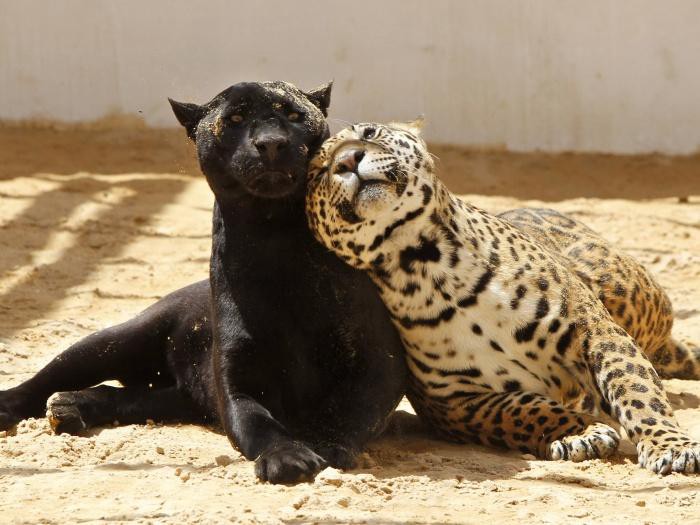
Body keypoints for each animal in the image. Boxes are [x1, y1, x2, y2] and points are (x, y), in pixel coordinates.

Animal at [305, 119, 700, 475]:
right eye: (319, 169)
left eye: (368, 133)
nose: (348, 160)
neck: (426, 263)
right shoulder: (456, 403)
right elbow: (525, 411)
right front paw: (580, 433)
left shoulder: (598, 332)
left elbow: (637, 390)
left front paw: (670, 446)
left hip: (628, 294)